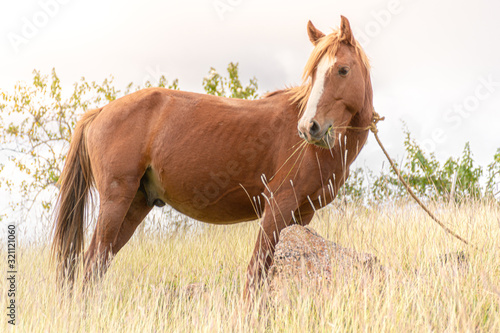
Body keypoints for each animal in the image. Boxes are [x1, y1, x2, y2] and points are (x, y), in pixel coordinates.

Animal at [52, 14, 372, 298]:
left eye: (342, 70)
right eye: (313, 74)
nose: (309, 128)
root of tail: (100, 112)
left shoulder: (301, 215)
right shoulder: (278, 206)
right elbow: (256, 272)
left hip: (135, 204)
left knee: (100, 262)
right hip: (116, 200)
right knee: (92, 262)